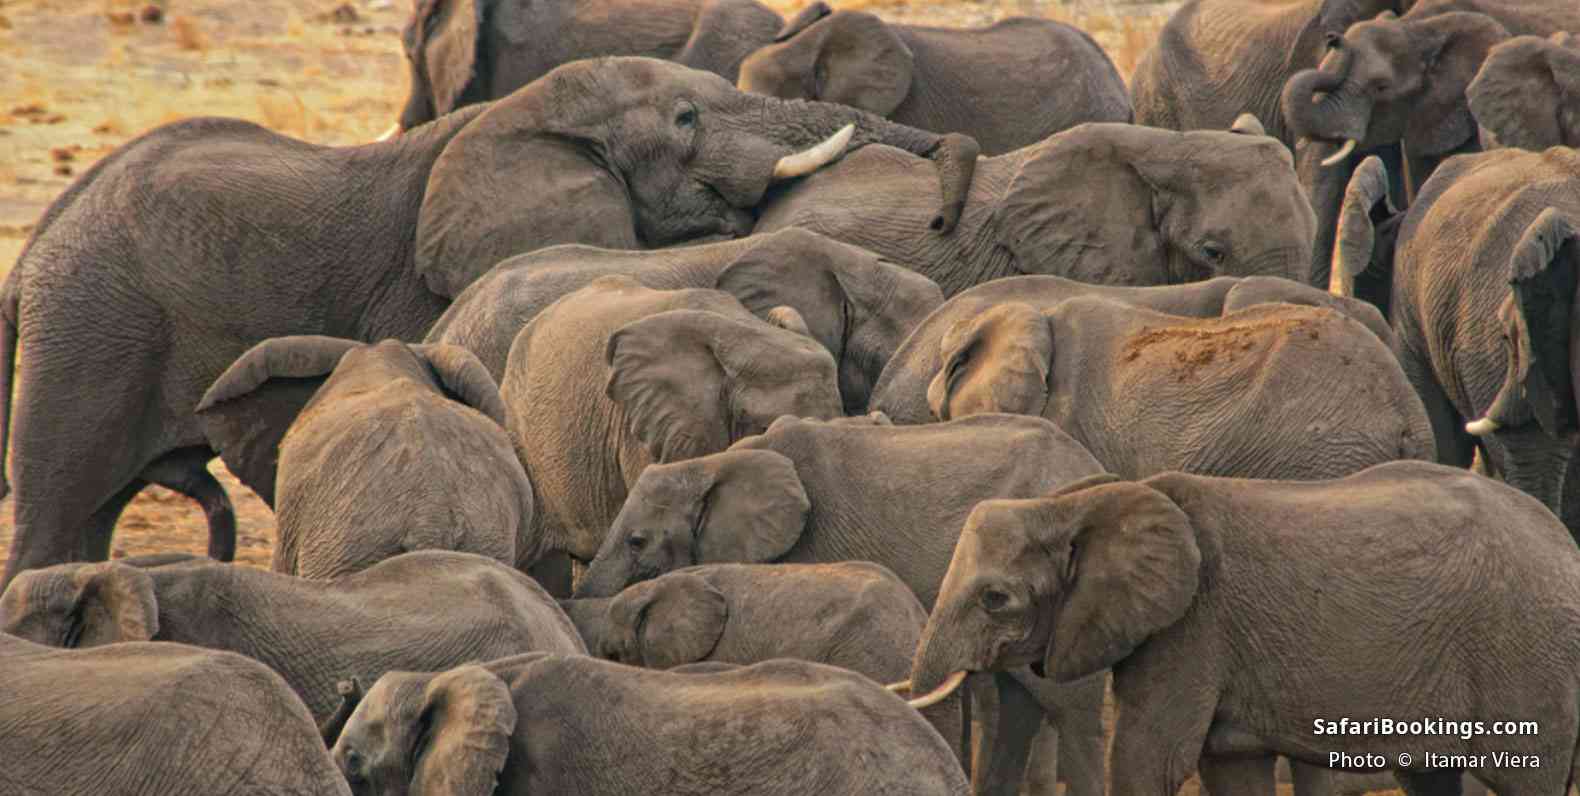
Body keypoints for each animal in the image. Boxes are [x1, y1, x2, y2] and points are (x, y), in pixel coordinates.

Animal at [906, 461, 1580, 796]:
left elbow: (1150, 760)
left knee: (1526, 782)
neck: (1077, 501)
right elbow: (1229, 768)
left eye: (995, 598)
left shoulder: (1192, 624)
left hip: (1527, 653)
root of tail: (1564, 540)